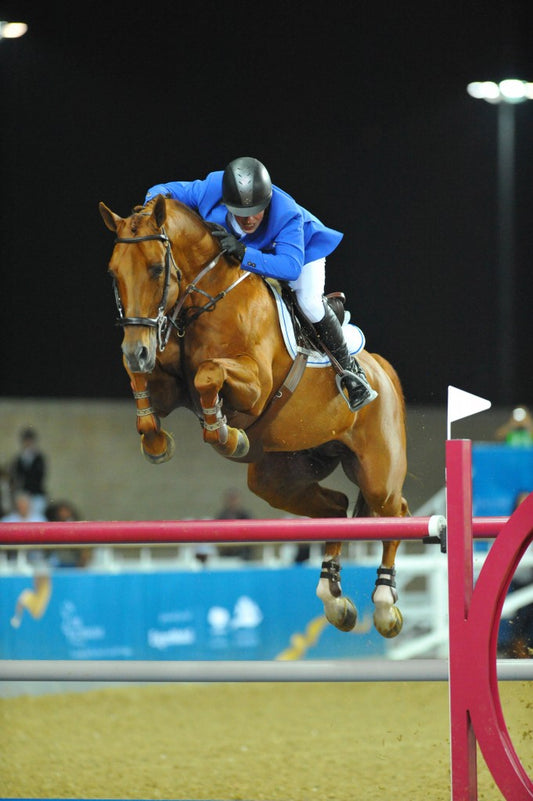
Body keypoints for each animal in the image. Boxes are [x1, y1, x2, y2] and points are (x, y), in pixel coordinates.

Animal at [98, 194, 408, 636]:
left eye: (156, 268)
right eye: (113, 273)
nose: (135, 349)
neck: (204, 299)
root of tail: (383, 368)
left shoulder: (256, 386)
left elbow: (210, 374)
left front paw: (226, 435)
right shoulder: (169, 387)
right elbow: (142, 383)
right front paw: (156, 441)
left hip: (378, 473)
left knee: (396, 513)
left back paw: (383, 603)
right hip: (279, 476)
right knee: (335, 508)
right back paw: (334, 598)